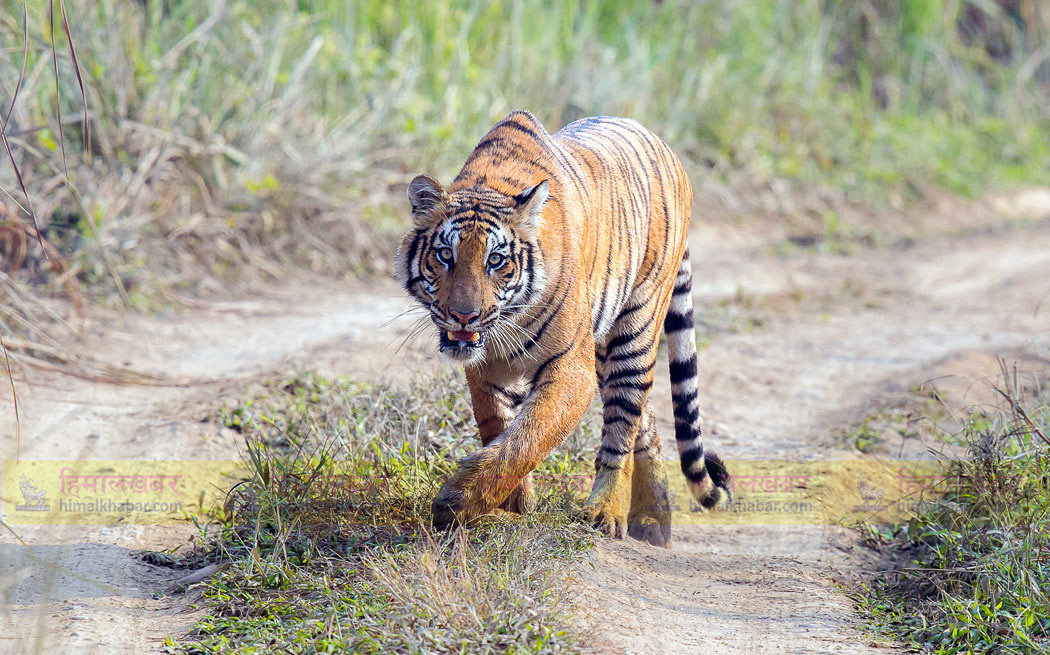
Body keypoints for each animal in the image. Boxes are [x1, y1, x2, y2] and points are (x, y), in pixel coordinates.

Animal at [394, 108, 730, 545]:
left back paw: (608, 511)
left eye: (495, 260)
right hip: (602, 345)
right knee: (647, 421)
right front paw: (511, 505)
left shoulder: (571, 369)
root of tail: (668, 150)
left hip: (635, 327)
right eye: (445, 255)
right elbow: (497, 426)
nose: (464, 315)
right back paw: (653, 519)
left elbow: (527, 439)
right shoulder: (486, 368)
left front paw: (458, 502)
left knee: (623, 424)